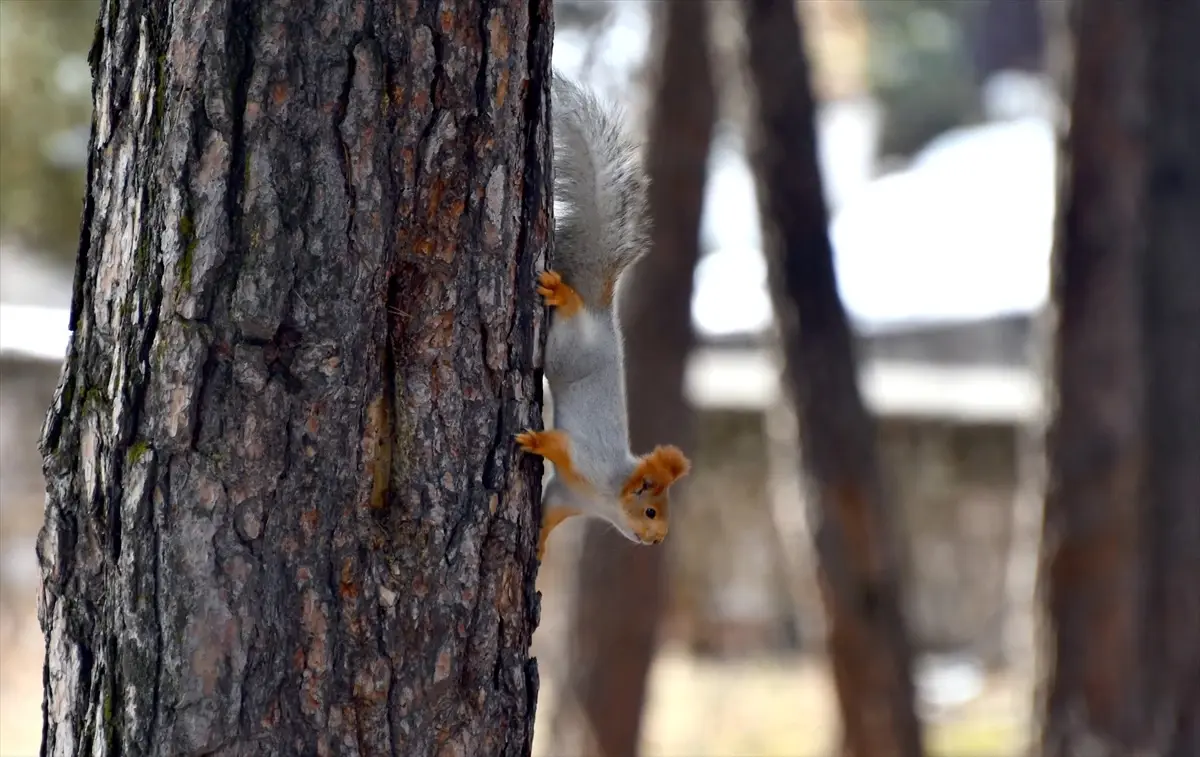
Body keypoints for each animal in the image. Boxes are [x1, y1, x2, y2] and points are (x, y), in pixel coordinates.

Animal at [518, 72, 696, 563]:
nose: (656, 541)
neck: (606, 496)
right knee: (571, 309)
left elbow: (548, 518)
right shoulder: (584, 461)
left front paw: (539, 547)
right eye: (651, 511)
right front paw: (533, 441)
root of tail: (601, 316)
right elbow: (558, 445)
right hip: (570, 347)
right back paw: (561, 292)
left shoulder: (564, 498)